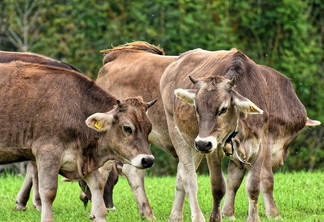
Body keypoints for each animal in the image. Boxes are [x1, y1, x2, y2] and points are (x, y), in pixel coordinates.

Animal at [159, 47, 318, 221]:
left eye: (223, 109)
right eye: (196, 109)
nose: (203, 143)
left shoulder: (258, 148)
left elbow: (251, 186)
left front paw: (250, 217)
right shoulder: (214, 151)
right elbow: (218, 187)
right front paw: (216, 217)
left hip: (195, 147)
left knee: (181, 175)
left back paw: (175, 216)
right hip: (181, 136)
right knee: (188, 177)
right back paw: (196, 216)